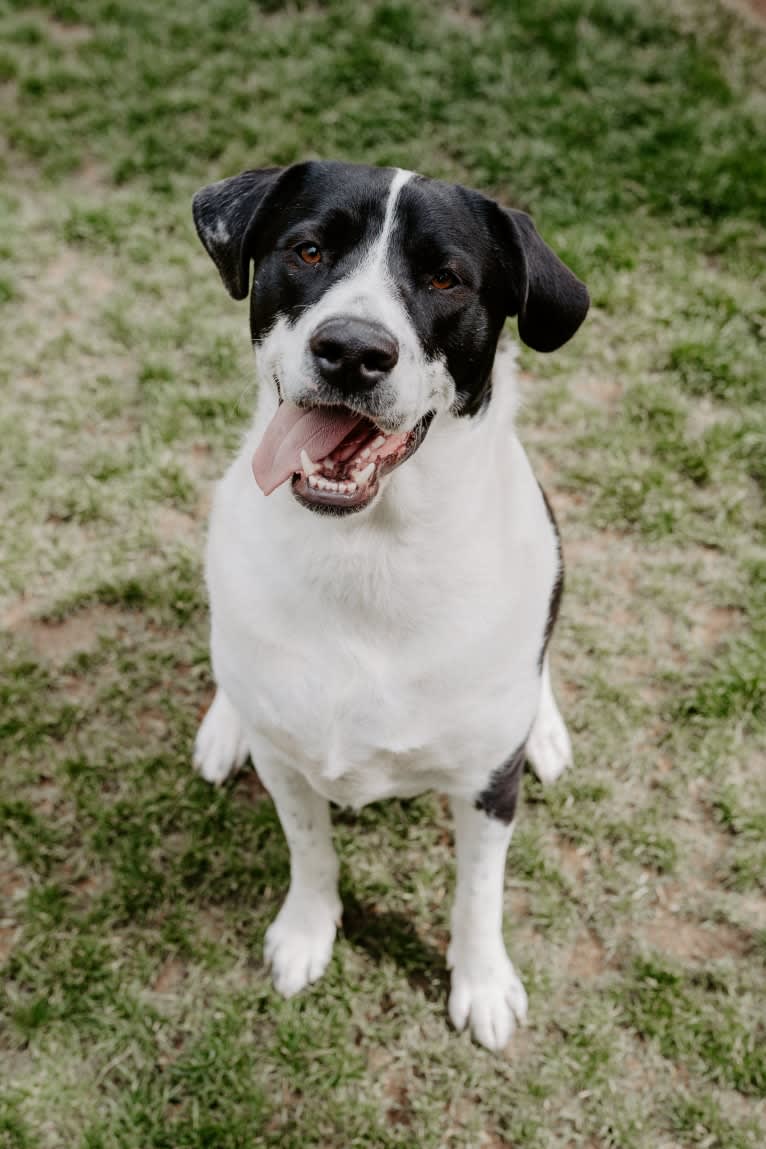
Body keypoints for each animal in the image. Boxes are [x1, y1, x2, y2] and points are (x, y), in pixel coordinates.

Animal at [190, 162, 587, 1052]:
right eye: (308, 250)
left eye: (445, 278)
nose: (351, 351)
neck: (369, 556)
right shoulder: (287, 762)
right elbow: (311, 851)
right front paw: (307, 932)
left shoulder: (487, 782)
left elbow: (479, 891)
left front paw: (483, 983)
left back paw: (545, 728)